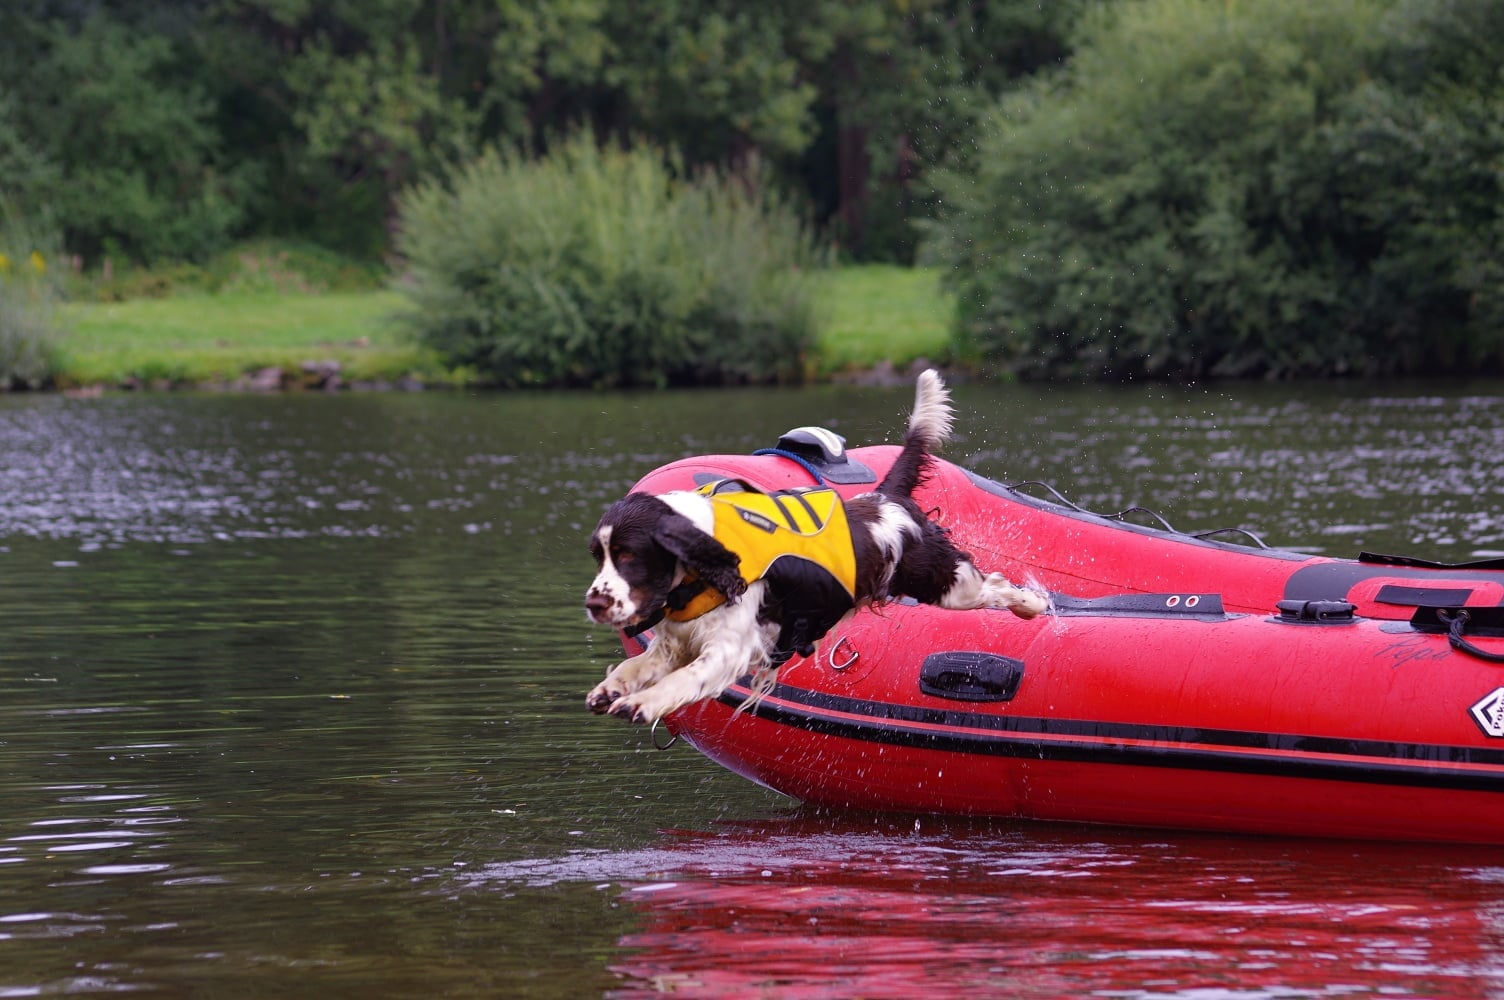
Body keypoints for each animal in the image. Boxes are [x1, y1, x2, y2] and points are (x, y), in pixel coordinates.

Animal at [583, 369, 1046, 721]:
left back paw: (1033, 605)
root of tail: (887, 497)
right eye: (598, 556)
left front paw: (643, 703)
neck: (703, 568)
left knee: (995, 584)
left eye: (628, 555)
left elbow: (682, 678)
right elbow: (636, 664)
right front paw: (609, 690)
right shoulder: (673, 643)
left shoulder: (727, 650)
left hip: (945, 584)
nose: (594, 604)